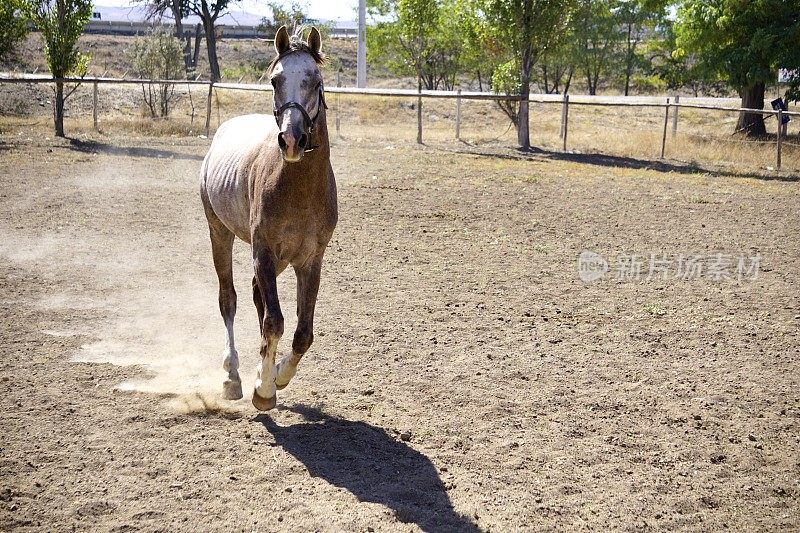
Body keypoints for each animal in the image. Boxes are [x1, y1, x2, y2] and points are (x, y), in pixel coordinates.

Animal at [203, 26, 338, 412]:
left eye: (316, 79)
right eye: (276, 80)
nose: (291, 140)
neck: (297, 188)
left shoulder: (310, 260)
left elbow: (302, 333)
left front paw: (276, 376)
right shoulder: (262, 250)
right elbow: (275, 322)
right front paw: (262, 390)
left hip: (278, 260)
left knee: (255, 296)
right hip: (220, 233)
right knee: (229, 299)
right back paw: (232, 377)